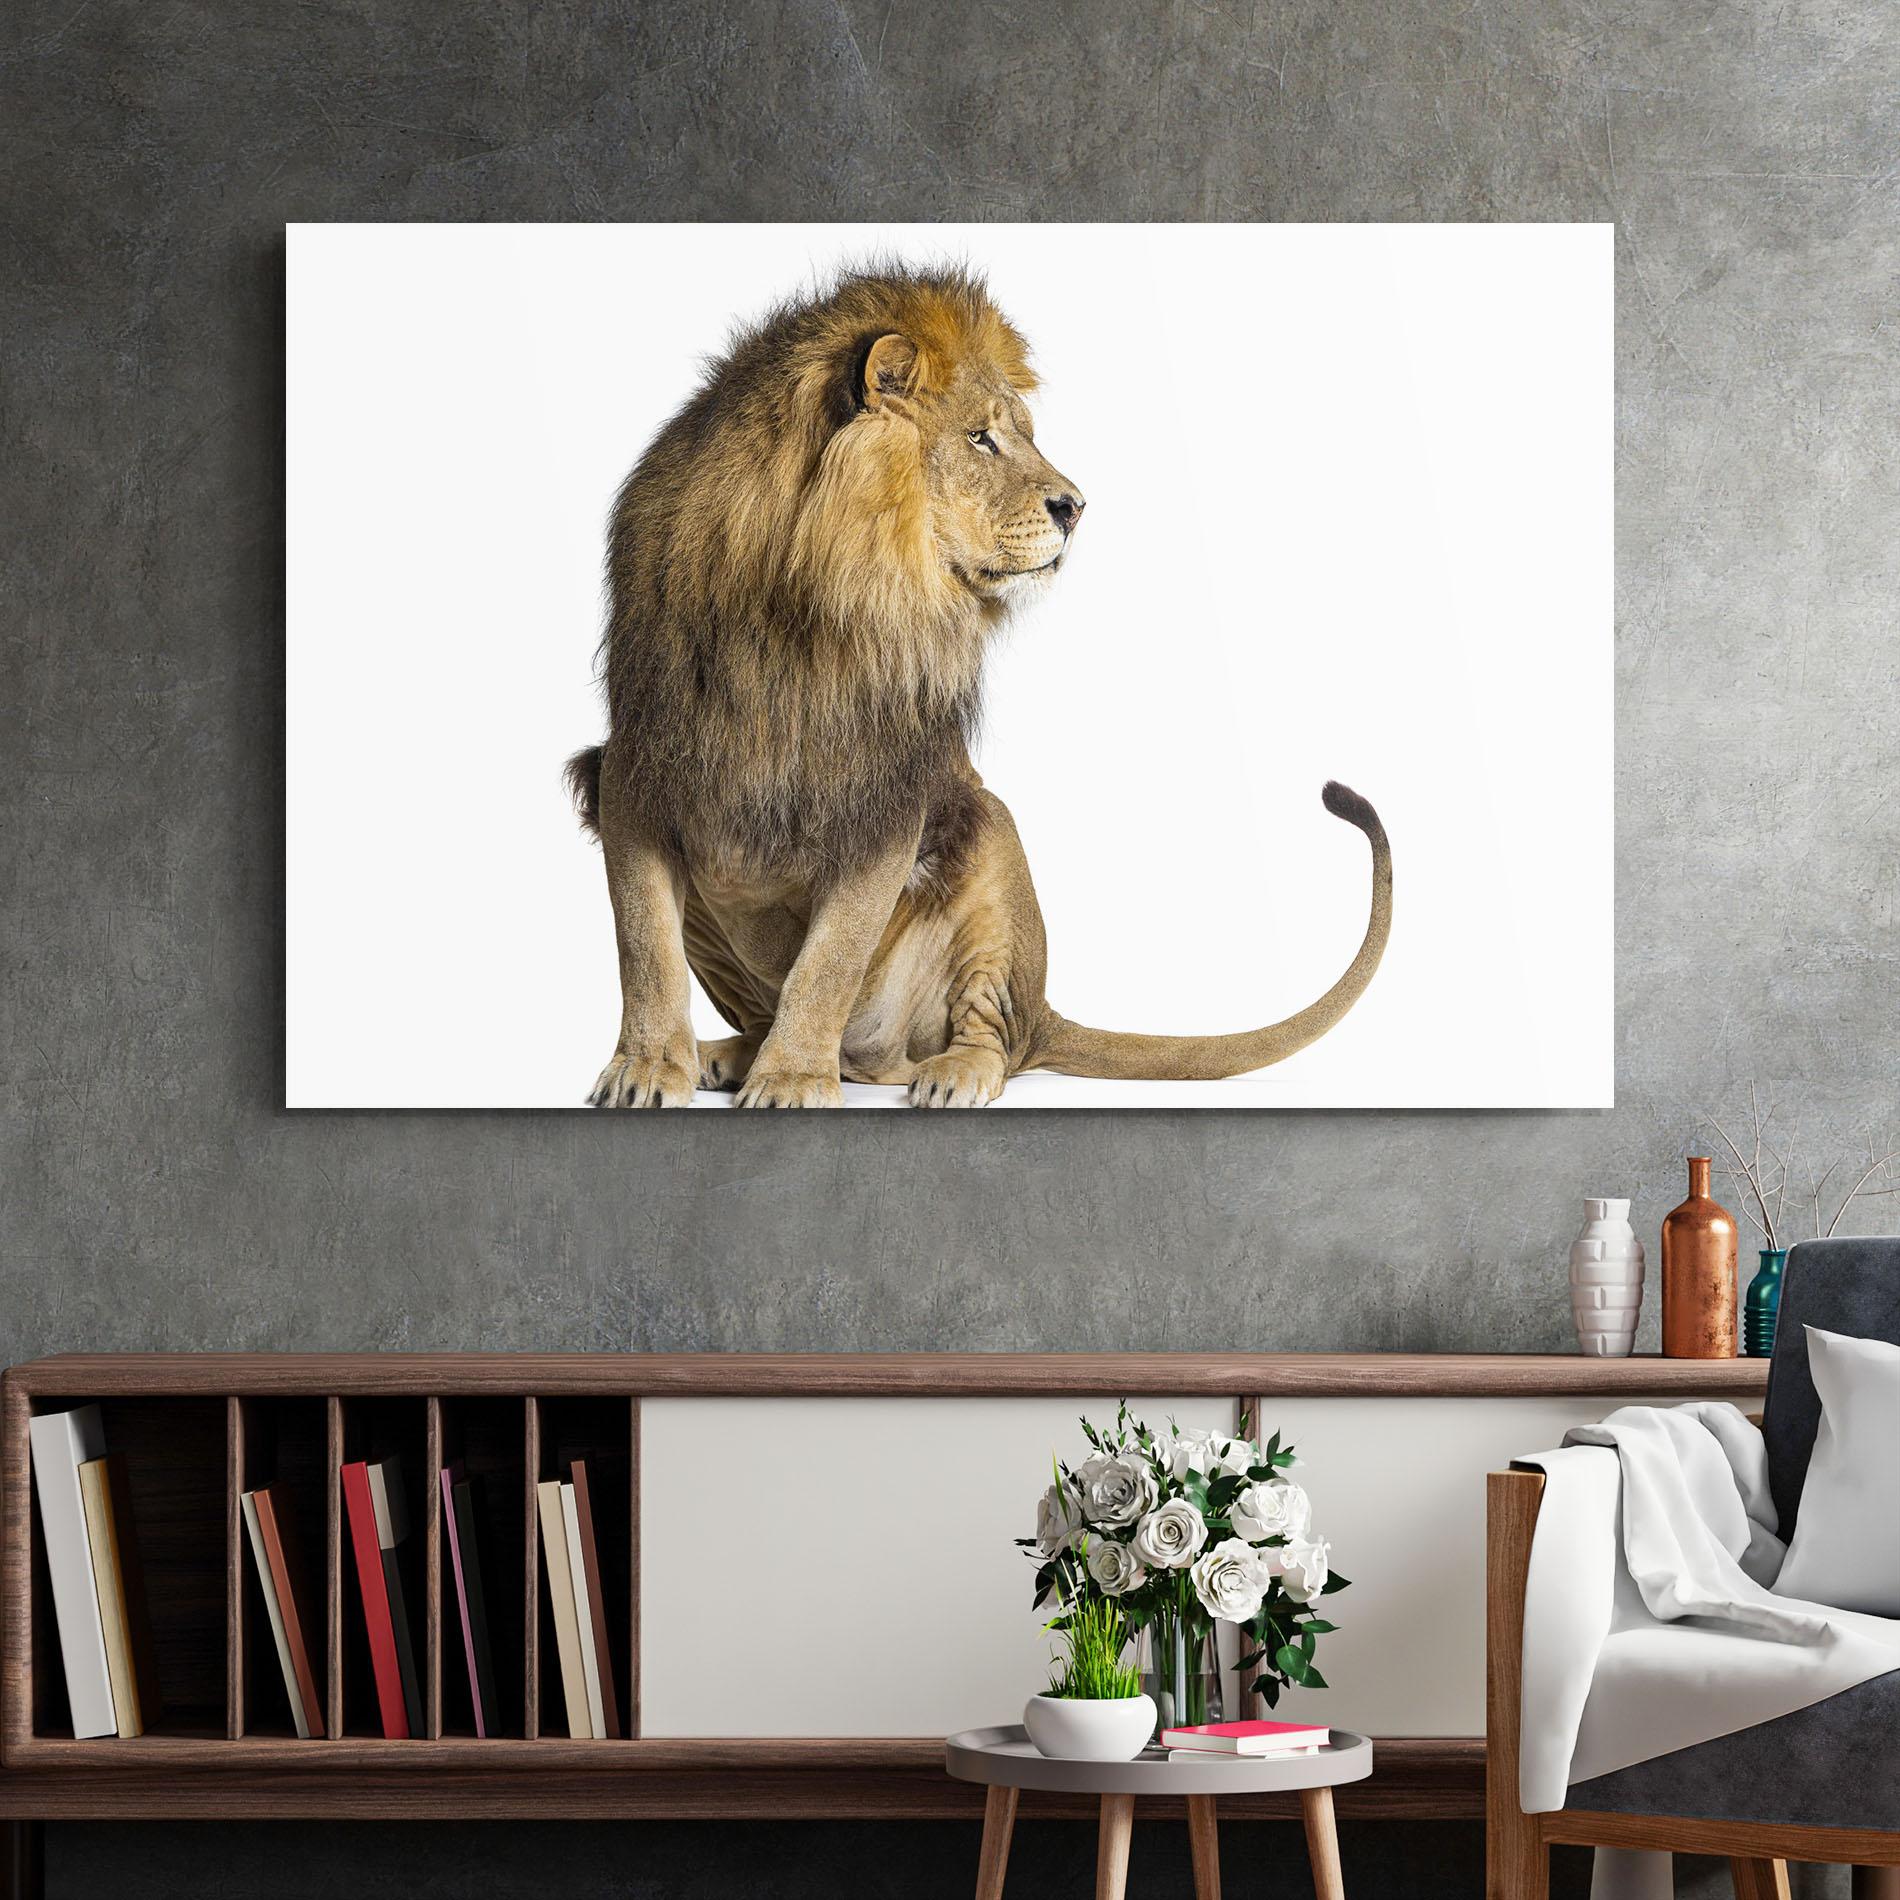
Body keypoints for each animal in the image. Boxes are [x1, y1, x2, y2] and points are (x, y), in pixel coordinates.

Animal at [566, 264, 1391, 1108]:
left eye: (1020, 433)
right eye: (980, 437)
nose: (1077, 507)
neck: (801, 609)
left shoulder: (888, 797)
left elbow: (828, 962)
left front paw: (793, 1078)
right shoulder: (634, 768)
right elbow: (645, 945)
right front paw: (648, 1067)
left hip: (989, 843)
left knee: (991, 1036)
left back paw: (944, 1071)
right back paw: (731, 1053)